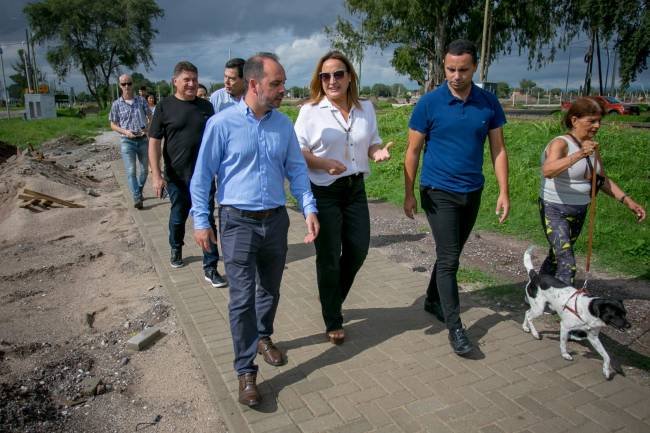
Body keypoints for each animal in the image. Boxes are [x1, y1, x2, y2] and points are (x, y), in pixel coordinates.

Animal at [520, 245, 628, 376]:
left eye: (625, 314)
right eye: (615, 314)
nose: (629, 325)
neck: (588, 310)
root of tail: (535, 276)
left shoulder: (593, 337)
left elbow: (607, 356)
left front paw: (606, 371)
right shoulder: (564, 326)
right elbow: (563, 343)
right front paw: (565, 355)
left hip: (539, 307)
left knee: (527, 312)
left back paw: (525, 327)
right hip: (539, 308)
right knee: (529, 316)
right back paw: (535, 333)